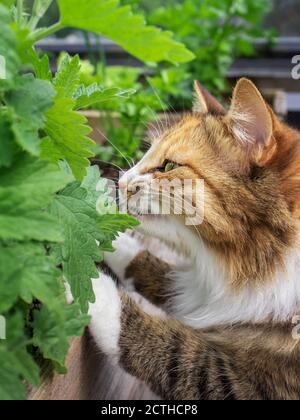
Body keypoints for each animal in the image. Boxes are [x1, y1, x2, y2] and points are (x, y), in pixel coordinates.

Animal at [88, 79, 300, 400]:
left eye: (169, 166)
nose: (121, 182)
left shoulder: (245, 385)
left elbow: (169, 348)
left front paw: (86, 286)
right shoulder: (196, 289)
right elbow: (149, 266)